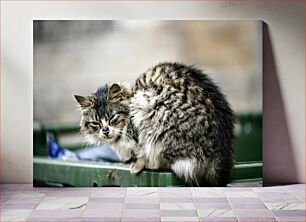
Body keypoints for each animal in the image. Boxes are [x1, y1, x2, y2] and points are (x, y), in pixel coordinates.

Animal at [74, 61, 234, 186]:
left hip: (152, 108)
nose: (105, 130)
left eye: (112, 117)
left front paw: (136, 165)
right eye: (96, 123)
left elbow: (142, 152)